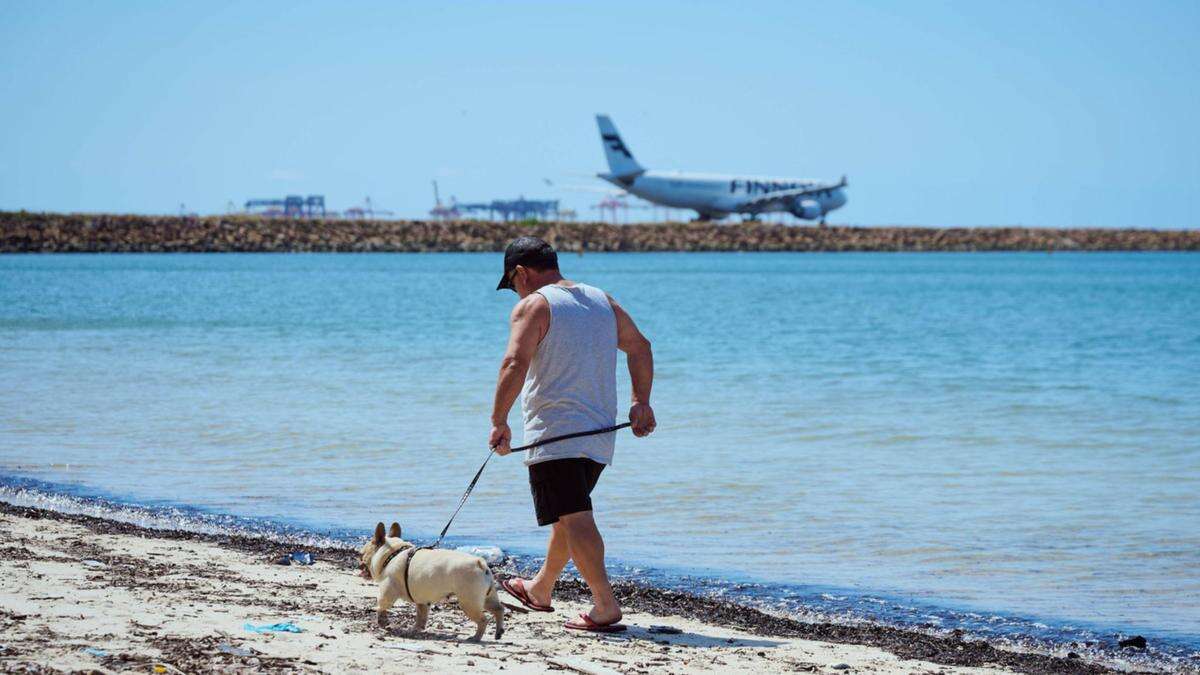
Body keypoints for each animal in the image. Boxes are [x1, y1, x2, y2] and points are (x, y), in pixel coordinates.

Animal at [357, 523, 504, 638]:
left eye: (361, 554)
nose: (358, 563)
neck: (391, 554)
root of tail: (480, 563)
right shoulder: (422, 601)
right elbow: (421, 616)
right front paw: (416, 629)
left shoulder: (387, 590)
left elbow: (381, 605)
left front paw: (382, 621)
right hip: (486, 598)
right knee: (499, 609)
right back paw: (498, 631)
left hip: (469, 602)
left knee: (483, 620)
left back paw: (476, 637)